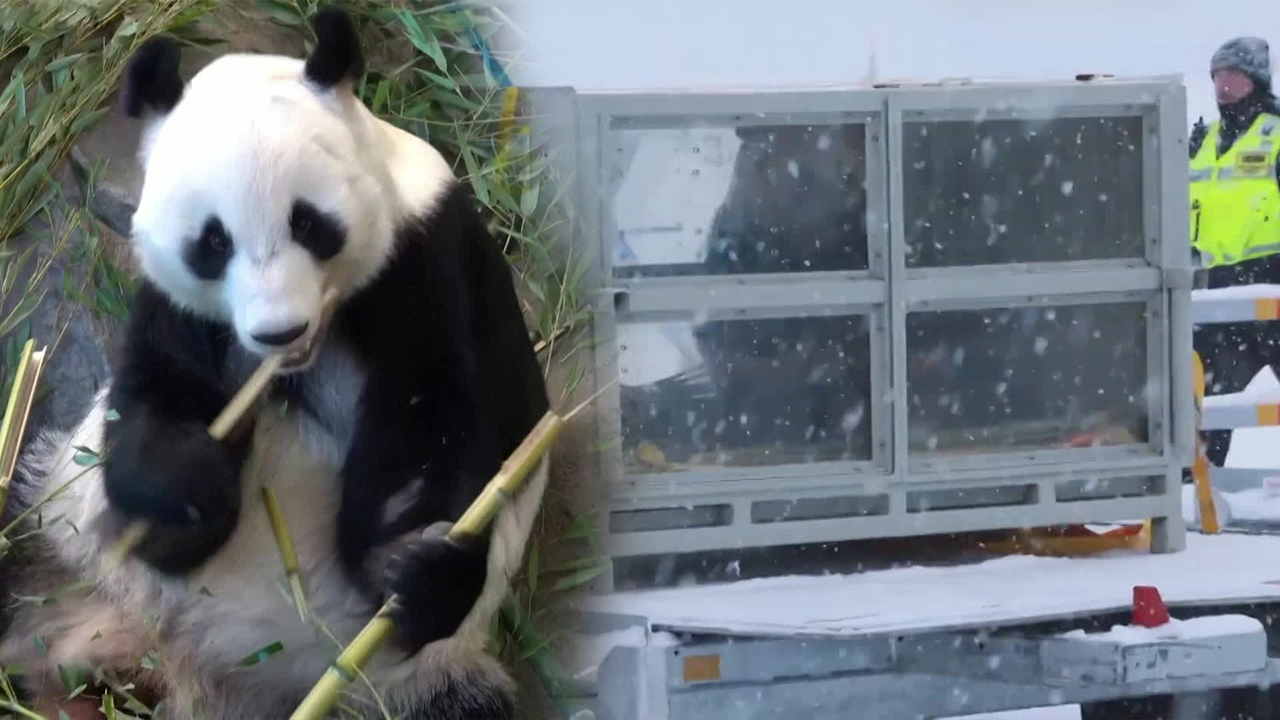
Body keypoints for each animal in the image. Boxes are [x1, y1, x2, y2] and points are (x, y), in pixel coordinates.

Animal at [0, 7, 545, 717]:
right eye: (212, 242)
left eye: (308, 223)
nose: (279, 330)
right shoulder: (182, 310)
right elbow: (159, 403)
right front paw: (183, 490)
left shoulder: (429, 256)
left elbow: (438, 425)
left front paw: (413, 567)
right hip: (54, 537)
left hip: (416, 685)